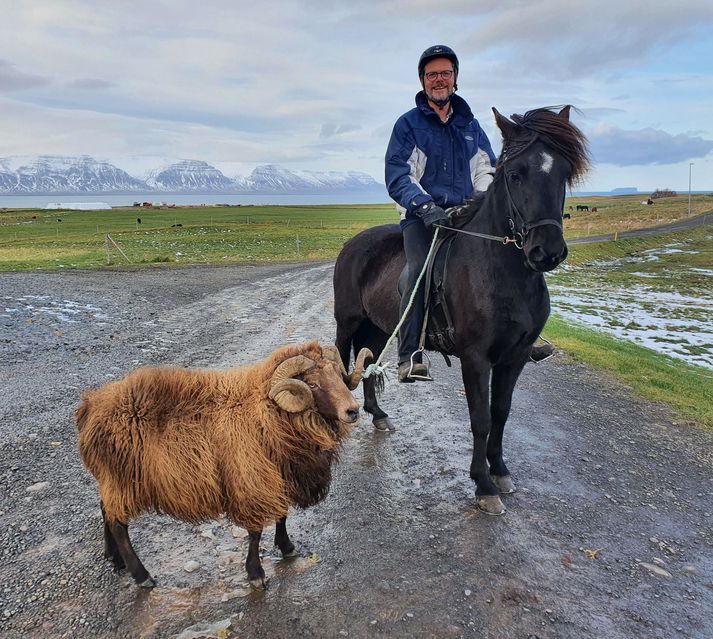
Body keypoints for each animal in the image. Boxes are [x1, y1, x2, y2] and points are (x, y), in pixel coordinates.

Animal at [330, 105, 588, 516]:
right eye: (515, 174)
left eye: (563, 172)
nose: (547, 251)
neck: (500, 271)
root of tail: (354, 243)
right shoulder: (475, 357)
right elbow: (480, 418)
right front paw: (483, 484)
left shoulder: (514, 357)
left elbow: (501, 412)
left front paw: (500, 471)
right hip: (348, 321)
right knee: (341, 362)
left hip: (380, 328)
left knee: (369, 361)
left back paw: (379, 415)